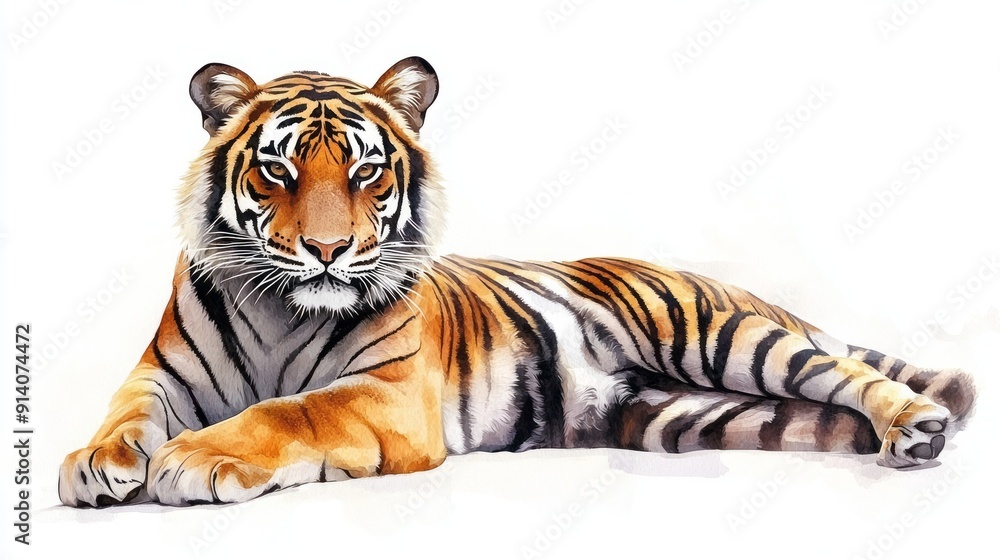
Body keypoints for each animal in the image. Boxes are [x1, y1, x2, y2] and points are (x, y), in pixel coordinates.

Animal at [59, 57, 977, 508]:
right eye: (278, 170)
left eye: (365, 173)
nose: (325, 249)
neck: (284, 309)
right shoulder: (161, 372)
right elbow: (126, 412)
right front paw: (95, 462)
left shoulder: (389, 393)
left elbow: (289, 411)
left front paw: (195, 458)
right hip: (687, 414)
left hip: (723, 335)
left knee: (843, 370)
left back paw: (919, 425)